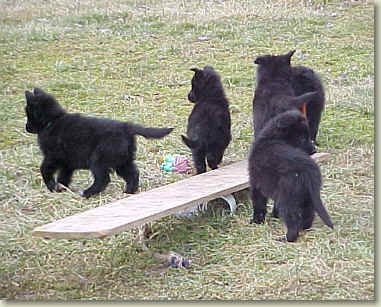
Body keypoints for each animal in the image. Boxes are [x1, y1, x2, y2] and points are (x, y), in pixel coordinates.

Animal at [26, 88, 174, 200]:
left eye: (28, 114)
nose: (26, 127)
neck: (53, 120)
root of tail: (126, 127)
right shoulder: (67, 162)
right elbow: (64, 175)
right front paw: (62, 187)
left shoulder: (52, 157)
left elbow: (44, 169)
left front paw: (51, 186)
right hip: (122, 160)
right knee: (133, 174)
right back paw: (129, 191)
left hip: (99, 160)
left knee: (103, 179)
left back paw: (87, 193)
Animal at [246, 110, 332, 243]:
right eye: (302, 138)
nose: (314, 150)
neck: (271, 139)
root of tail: (309, 169)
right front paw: (274, 215)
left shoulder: (256, 183)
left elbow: (258, 204)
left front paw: (256, 221)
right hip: (306, 195)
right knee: (308, 213)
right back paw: (304, 227)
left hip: (287, 197)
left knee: (293, 220)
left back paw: (287, 238)